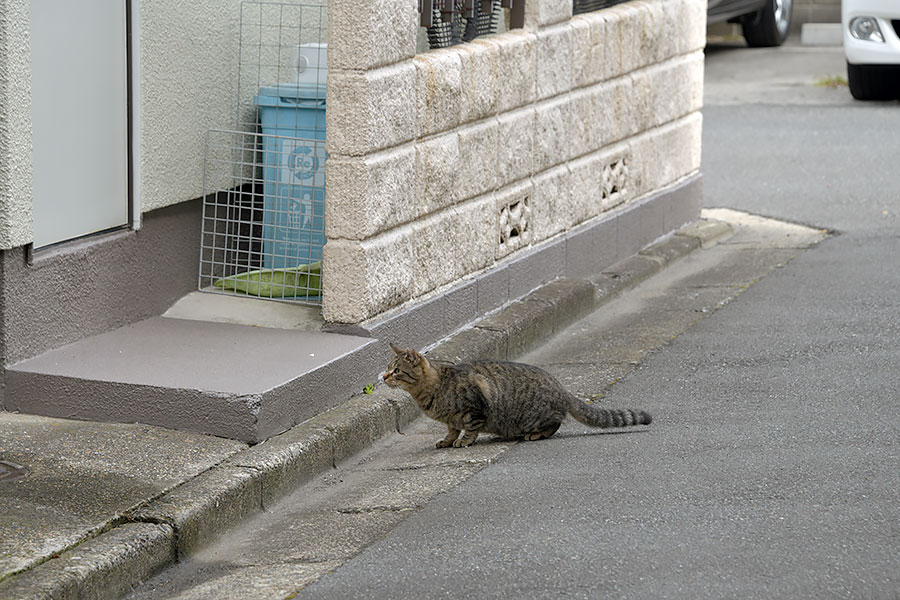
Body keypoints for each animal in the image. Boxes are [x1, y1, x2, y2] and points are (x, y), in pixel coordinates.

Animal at [384, 344, 652, 448]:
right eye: (388, 368)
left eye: (396, 370)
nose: (384, 377)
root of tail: (562, 389)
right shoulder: (451, 419)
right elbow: (451, 430)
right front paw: (447, 441)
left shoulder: (473, 410)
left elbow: (469, 429)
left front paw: (464, 441)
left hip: (535, 415)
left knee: (555, 424)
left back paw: (533, 434)